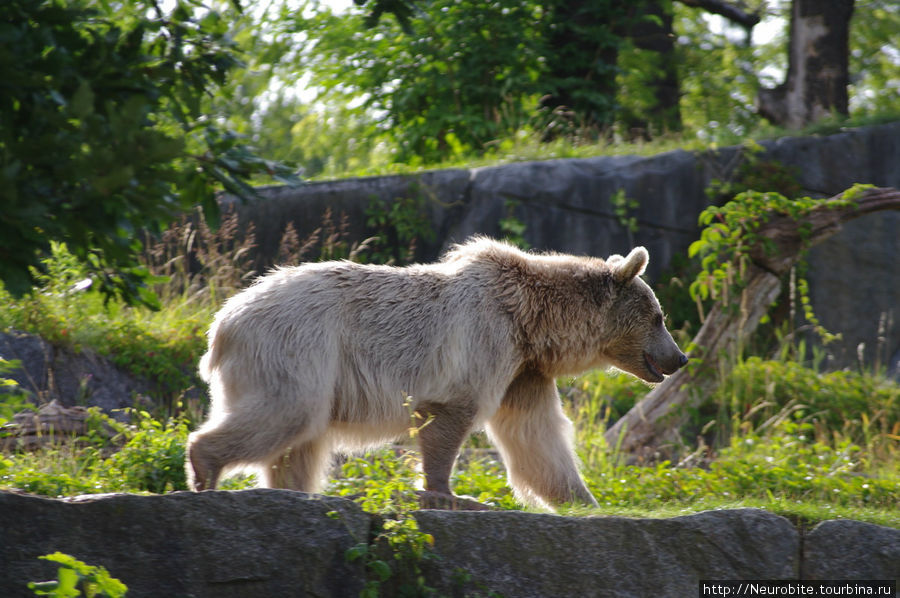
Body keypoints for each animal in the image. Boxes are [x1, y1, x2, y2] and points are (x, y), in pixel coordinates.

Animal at [186, 237, 684, 508]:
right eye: (659, 316)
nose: (679, 358)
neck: (532, 321)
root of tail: (221, 325)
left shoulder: (523, 372)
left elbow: (537, 440)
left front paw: (586, 499)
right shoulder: (483, 340)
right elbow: (451, 414)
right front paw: (449, 494)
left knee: (299, 447)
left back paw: (293, 492)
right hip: (298, 347)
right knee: (288, 414)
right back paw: (204, 466)